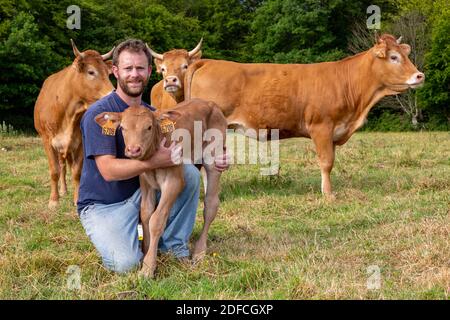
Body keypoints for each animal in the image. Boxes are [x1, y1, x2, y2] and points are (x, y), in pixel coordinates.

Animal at [35, 40, 116, 209]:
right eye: (91, 72)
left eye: (107, 73)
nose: (112, 93)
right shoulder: (47, 140)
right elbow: (54, 171)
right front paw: (54, 200)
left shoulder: (79, 142)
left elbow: (77, 172)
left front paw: (76, 197)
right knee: (62, 166)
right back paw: (63, 190)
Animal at [185, 34, 424, 195]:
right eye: (394, 57)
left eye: (405, 54)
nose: (420, 75)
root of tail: (207, 61)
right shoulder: (321, 127)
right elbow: (326, 162)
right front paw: (328, 194)